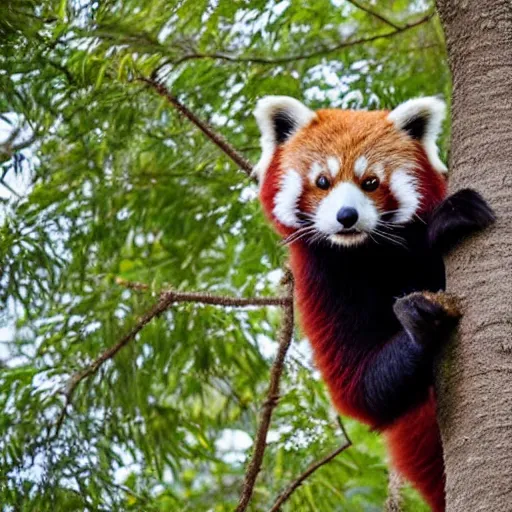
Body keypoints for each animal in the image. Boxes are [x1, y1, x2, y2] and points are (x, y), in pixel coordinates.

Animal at [254, 95, 494, 508]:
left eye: (371, 183)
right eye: (322, 181)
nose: (346, 216)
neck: (368, 252)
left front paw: (449, 219)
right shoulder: (321, 280)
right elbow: (360, 388)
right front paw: (421, 320)